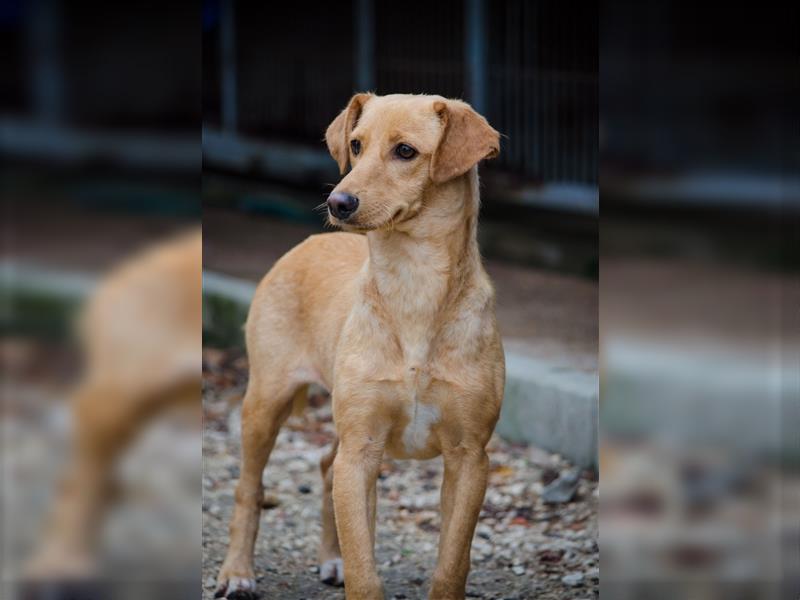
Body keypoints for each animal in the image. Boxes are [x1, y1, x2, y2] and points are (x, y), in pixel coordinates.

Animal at [216, 94, 504, 600]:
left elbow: (452, 562)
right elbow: (364, 567)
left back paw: (329, 560)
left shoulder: (470, 458)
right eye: (355, 144)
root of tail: (308, 242)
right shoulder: (362, 448)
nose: (337, 202)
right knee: (250, 488)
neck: (413, 287)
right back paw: (236, 572)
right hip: (265, 402)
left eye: (405, 151)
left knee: (327, 465)